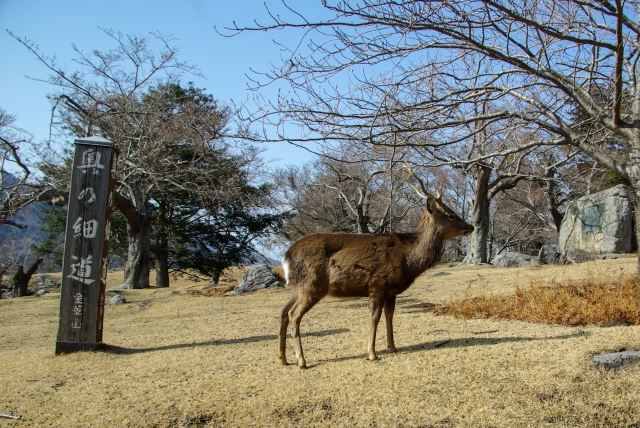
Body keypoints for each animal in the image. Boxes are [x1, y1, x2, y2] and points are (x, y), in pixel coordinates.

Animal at [278, 165, 472, 368]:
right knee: (294, 314)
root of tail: (286, 257)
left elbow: (389, 316)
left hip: (298, 287)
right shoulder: (377, 284)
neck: (407, 259)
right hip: (312, 285)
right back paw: (301, 361)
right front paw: (372, 353)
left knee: (283, 312)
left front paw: (392, 347)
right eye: (451, 214)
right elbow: (375, 317)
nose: (471, 226)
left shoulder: (391, 290)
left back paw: (283, 358)